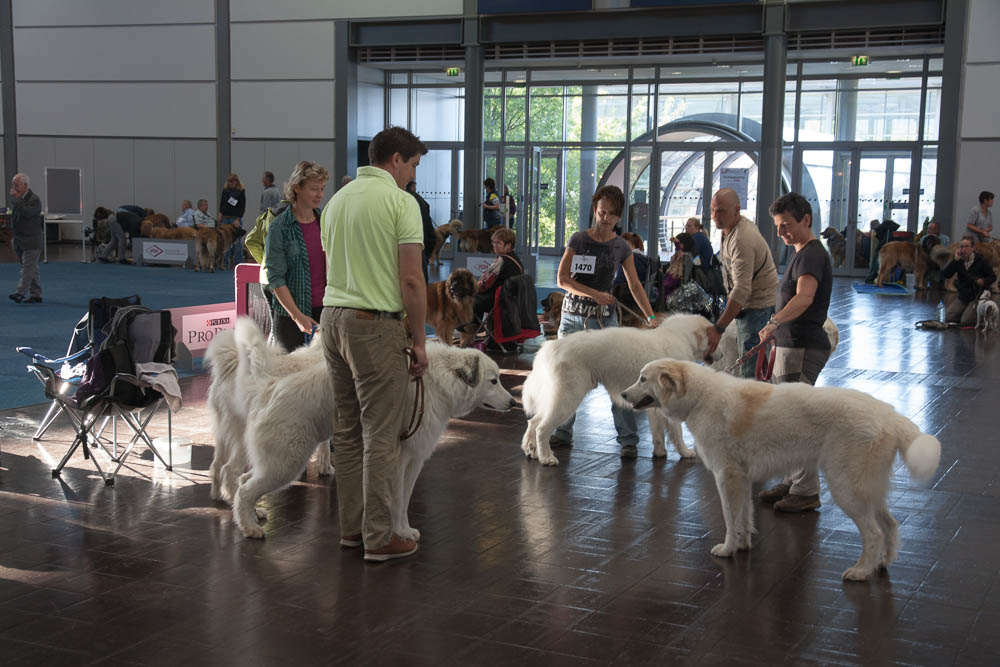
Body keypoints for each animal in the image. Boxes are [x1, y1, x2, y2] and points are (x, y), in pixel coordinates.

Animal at [520, 314, 724, 468]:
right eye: (716, 341)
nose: (722, 355)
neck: (682, 337)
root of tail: (551, 347)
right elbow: (677, 432)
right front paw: (685, 452)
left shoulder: (653, 404)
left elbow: (658, 433)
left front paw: (660, 453)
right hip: (567, 398)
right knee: (542, 428)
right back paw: (547, 458)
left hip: (557, 398)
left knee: (533, 422)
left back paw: (532, 451)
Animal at [620, 358, 940, 580]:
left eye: (642, 379)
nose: (622, 395)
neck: (699, 397)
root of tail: (890, 414)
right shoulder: (742, 479)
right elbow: (744, 517)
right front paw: (742, 546)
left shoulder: (727, 477)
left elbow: (729, 518)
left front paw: (727, 549)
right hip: (869, 490)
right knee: (890, 526)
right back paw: (881, 563)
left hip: (847, 489)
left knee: (873, 534)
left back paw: (861, 571)